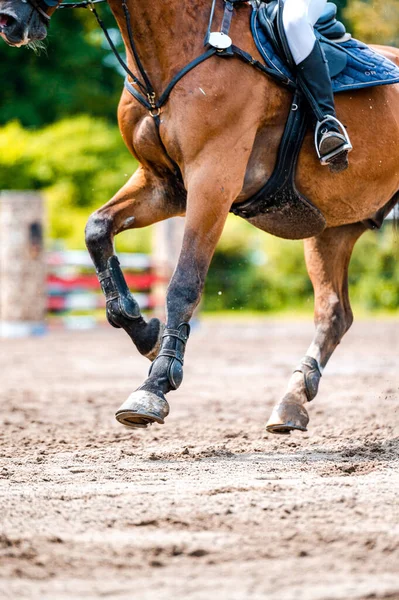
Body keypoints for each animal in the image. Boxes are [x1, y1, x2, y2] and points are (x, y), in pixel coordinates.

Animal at [1, 0, 398, 434]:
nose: (9, 20)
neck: (171, 58)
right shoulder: (164, 185)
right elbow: (97, 230)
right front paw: (145, 332)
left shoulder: (213, 181)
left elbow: (183, 284)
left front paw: (155, 386)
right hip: (335, 226)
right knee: (333, 314)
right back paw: (291, 402)